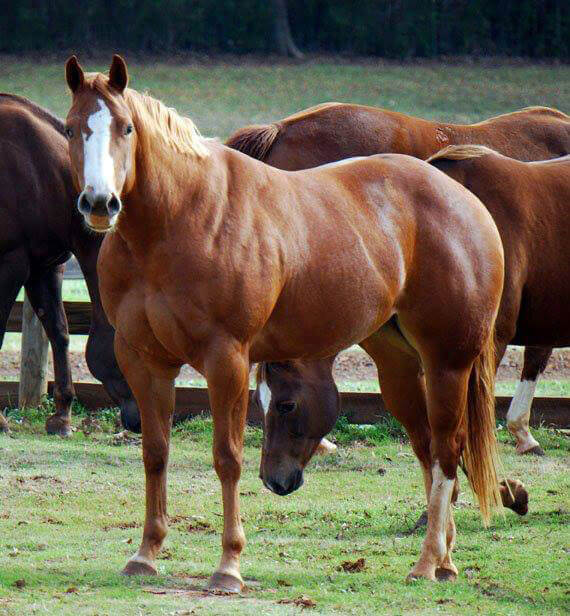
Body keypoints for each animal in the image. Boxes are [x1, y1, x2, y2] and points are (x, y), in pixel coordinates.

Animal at [64, 56, 504, 588]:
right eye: (70, 128)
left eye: (126, 128)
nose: (99, 203)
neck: (176, 221)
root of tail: (465, 202)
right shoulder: (144, 360)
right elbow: (155, 453)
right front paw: (146, 553)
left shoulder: (226, 358)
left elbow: (227, 457)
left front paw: (228, 565)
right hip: (399, 364)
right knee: (426, 447)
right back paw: (445, 558)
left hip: (447, 363)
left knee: (445, 450)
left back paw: (426, 560)